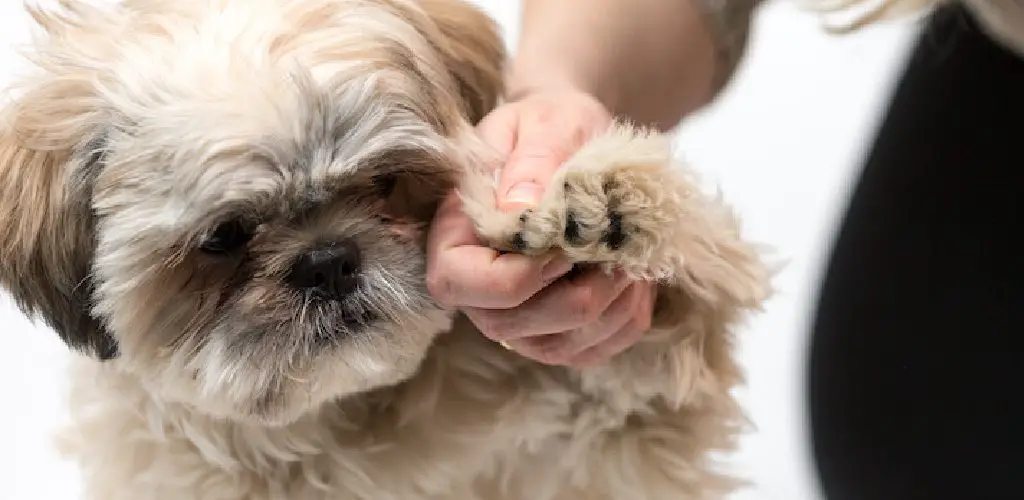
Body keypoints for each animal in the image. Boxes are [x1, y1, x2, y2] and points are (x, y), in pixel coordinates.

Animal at [0, 0, 770, 500]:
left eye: (382, 181)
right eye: (224, 237)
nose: (327, 261)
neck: (346, 417)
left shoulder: (628, 416)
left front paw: (595, 202)